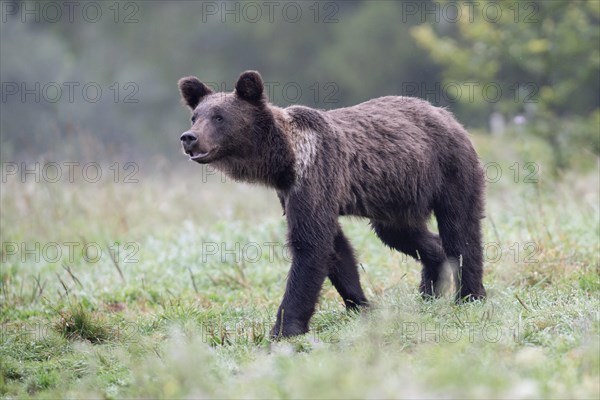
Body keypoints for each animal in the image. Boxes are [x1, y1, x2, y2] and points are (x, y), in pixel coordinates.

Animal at [176, 71, 486, 338]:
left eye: (219, 117)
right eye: (195, 116)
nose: (189, 138)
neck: (283, 162)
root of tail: (445, 113)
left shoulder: (315, 173)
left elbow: (310, 245)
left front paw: (284, 328)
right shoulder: (291, 193)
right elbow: (336, 250)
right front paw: (360, 305)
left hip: (449, 169)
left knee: (460, 227)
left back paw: (470, 295)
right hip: (396, 197)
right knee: (404, 235)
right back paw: (429, 289)